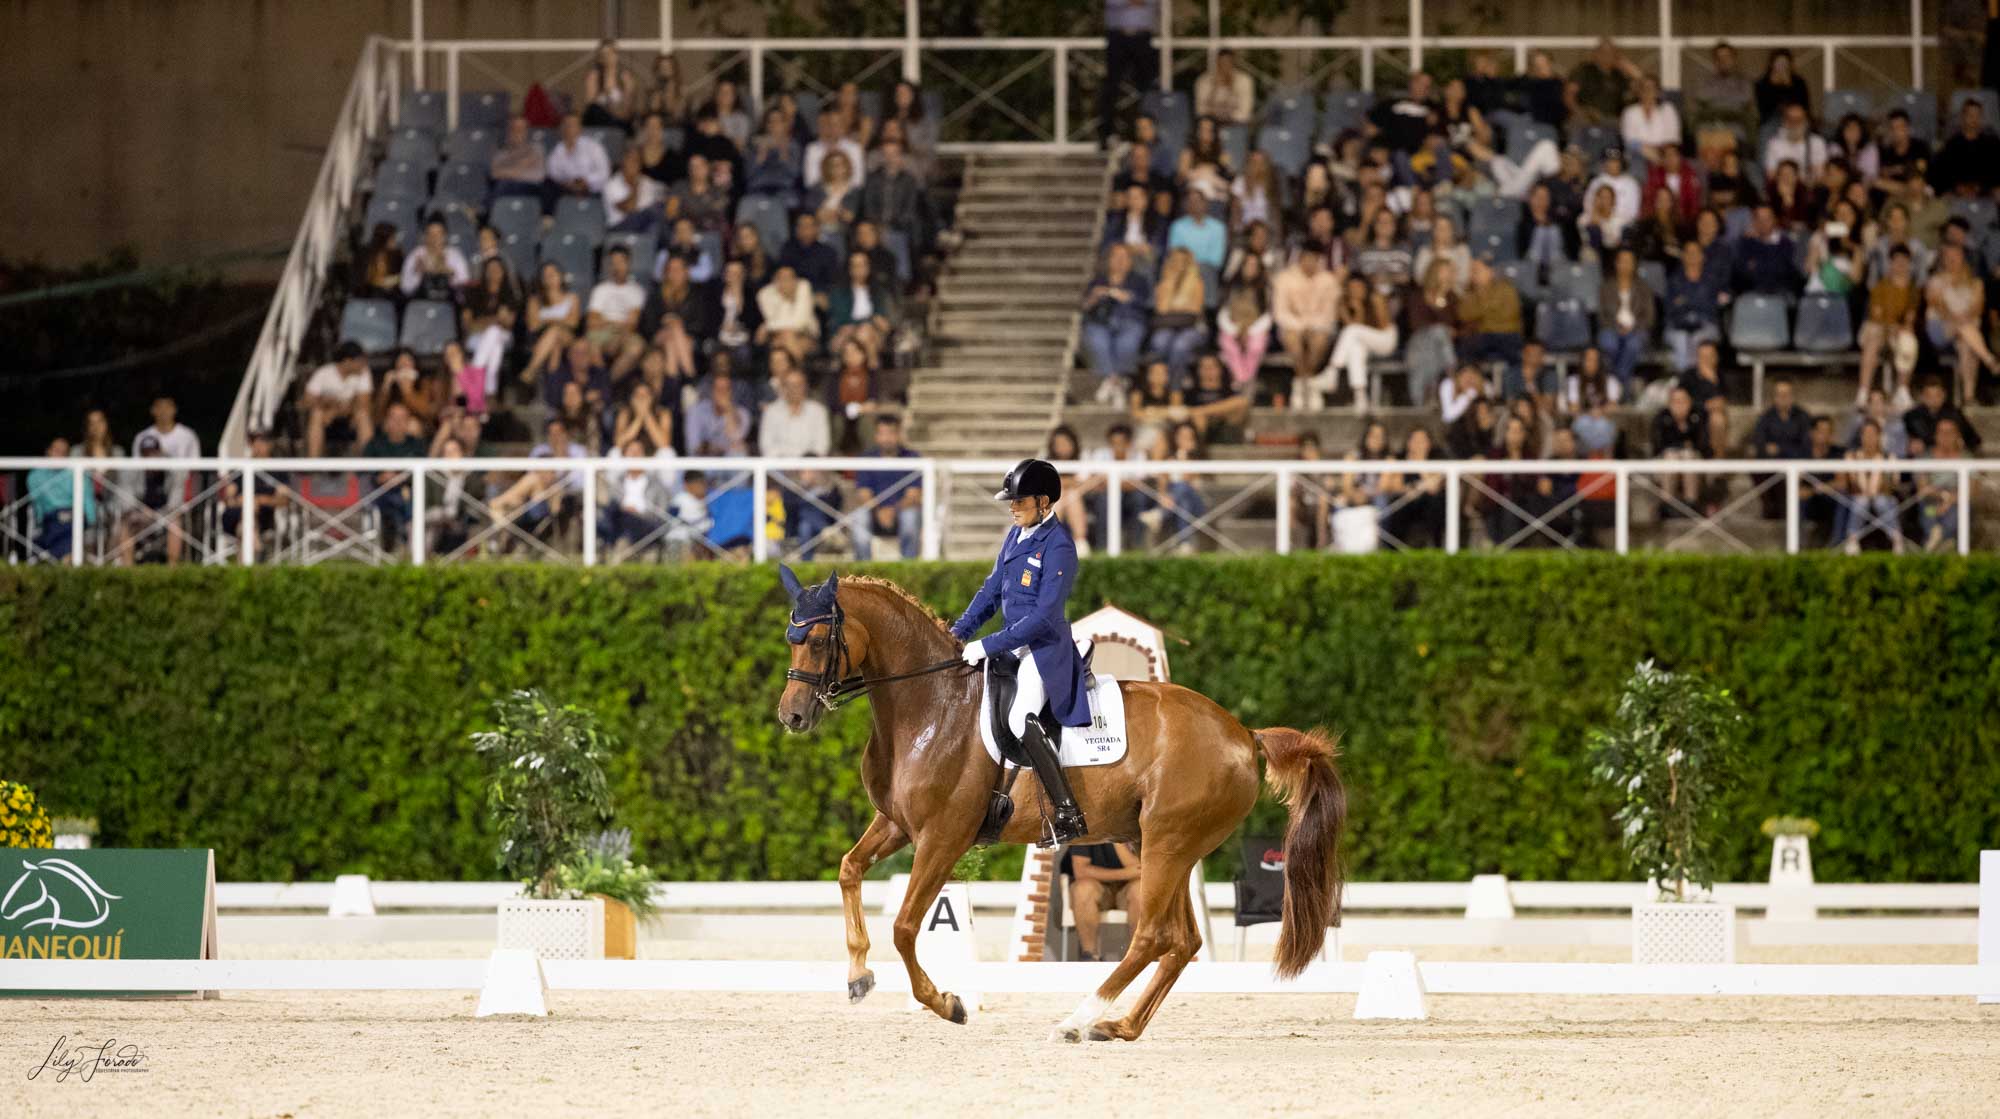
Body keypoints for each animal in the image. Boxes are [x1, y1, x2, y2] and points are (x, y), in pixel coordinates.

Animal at [772, 571, 1352, 1047]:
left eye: (819, 640)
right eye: (790, 639)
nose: (792, 717)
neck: (933, 705)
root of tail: (1242, 734)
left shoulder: (943, 837)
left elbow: (906, 927)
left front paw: (948, 1003)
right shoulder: (897, 824)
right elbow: (849, 870)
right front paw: (858, 975)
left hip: (1168, 844)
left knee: (1152, 936)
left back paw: (1076, 1020)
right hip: (1162, 846)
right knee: (1182, 941)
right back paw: (1118, 1026)